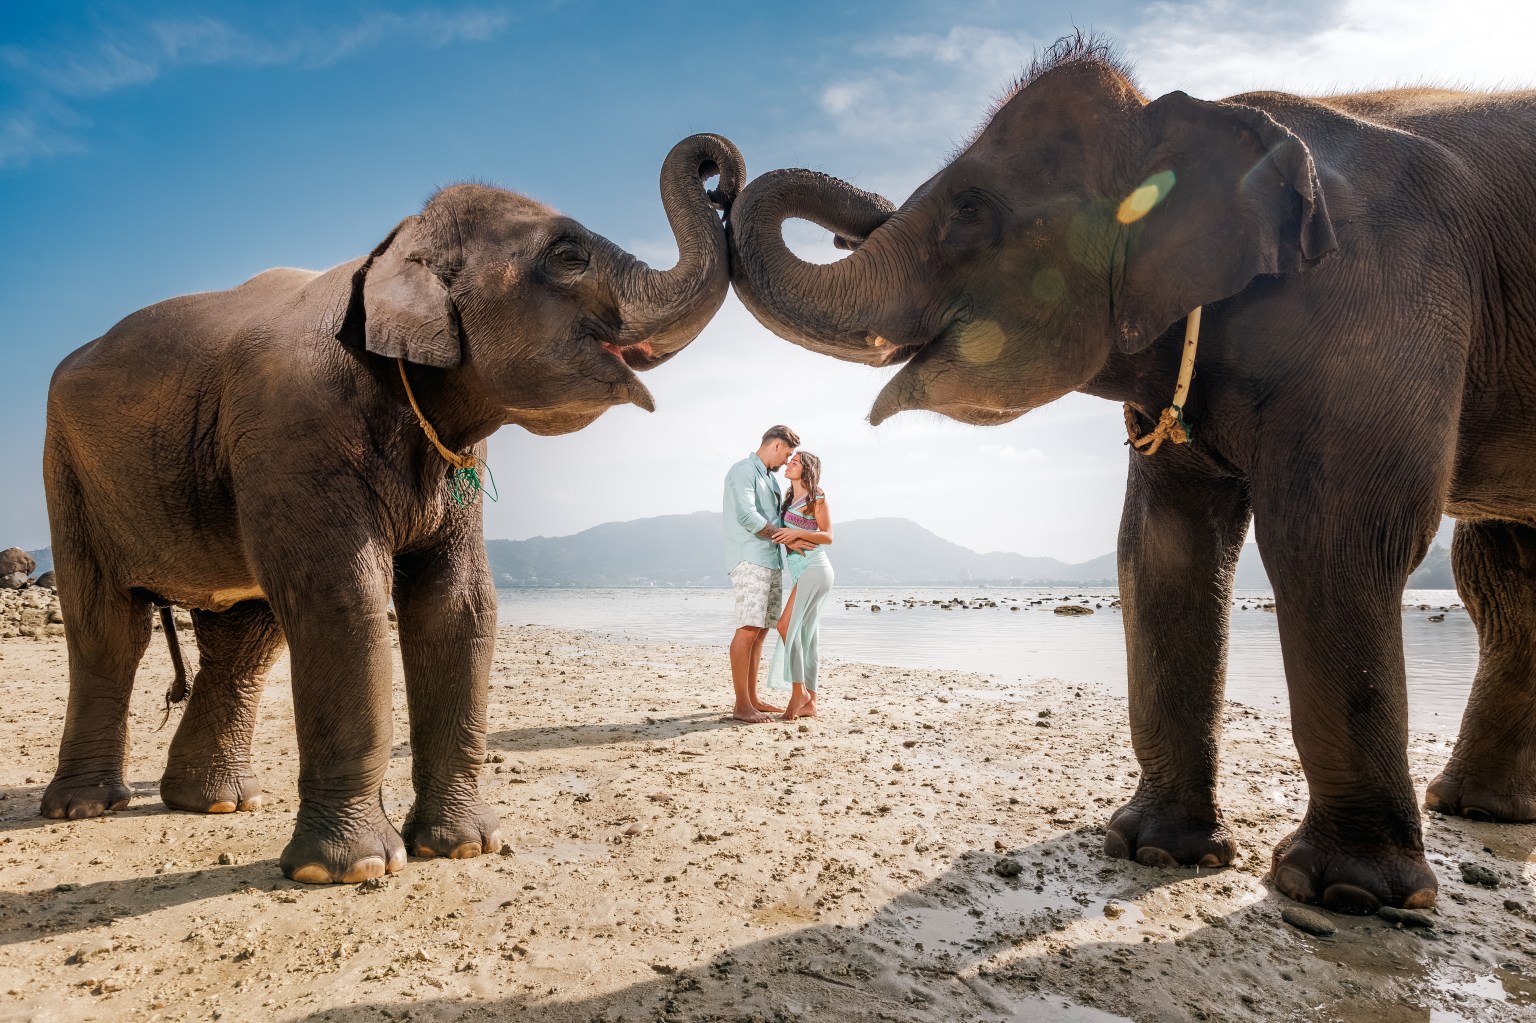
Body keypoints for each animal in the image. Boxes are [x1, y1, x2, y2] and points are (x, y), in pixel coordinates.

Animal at [41, 132, 744, 884]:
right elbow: (345, 598)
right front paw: (352, 870)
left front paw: (463, 846)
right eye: (567, 256)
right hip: (69, 470)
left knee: (244, 634)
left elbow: (458, 602)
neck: (386, 251)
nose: (719, 173)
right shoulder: (296, 428)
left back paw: (217, 803)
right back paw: (84, 808)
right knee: (109, 625)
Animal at [728, 34, 1536, 912]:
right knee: (1499, 572)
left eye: (971, 208)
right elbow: (1161, 548)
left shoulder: (1382, 310)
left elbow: (1335, 541)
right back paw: (1474, 805)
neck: (1195, 118)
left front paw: (1346, 892)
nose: (716, 175)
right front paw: (1154, 849)